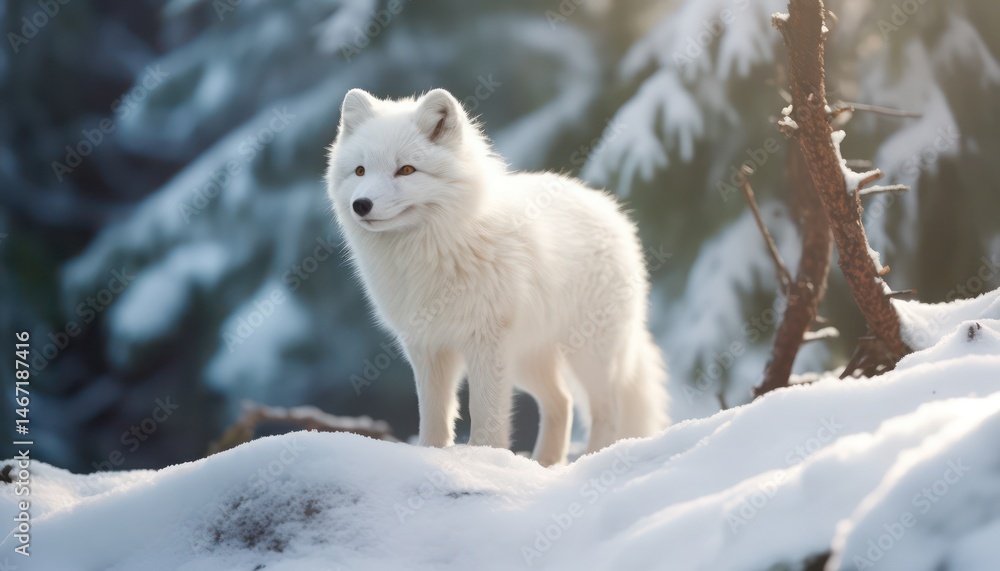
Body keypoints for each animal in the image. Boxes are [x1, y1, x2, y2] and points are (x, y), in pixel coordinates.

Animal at [325, 88, 669, 466]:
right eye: (360, 171)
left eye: (406, 170)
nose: (361, 204)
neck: (439, 249)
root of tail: (609, 207)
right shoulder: (426, 345)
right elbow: (433, 417)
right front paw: (433, 456)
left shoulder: (486, 342)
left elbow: (486, 417)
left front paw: (484, 462)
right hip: (526, 361)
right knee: (561, 402)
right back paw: (544, 466)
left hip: (587, 355)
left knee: (607, 412)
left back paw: (592, 460)